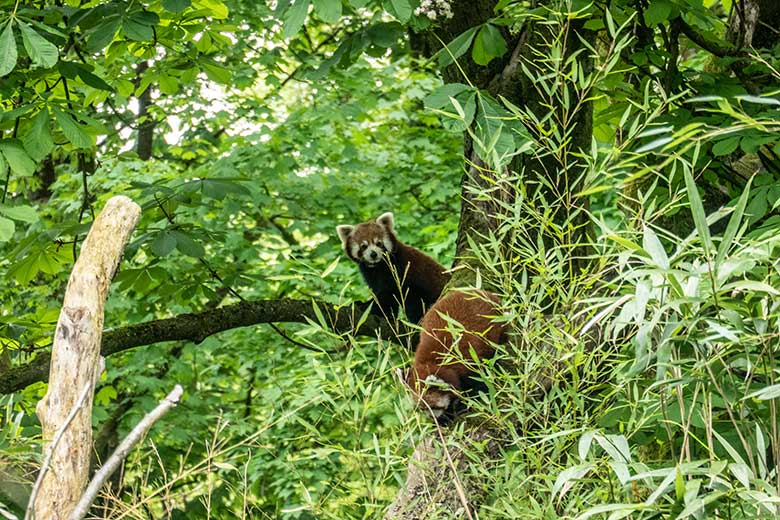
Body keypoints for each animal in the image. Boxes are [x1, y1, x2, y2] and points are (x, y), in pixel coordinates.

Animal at [402, 290, 506, 420]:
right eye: (422, 408)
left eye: (433, 407)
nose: (432, 418)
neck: (432, 361)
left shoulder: (469, 359)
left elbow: (478, 384)